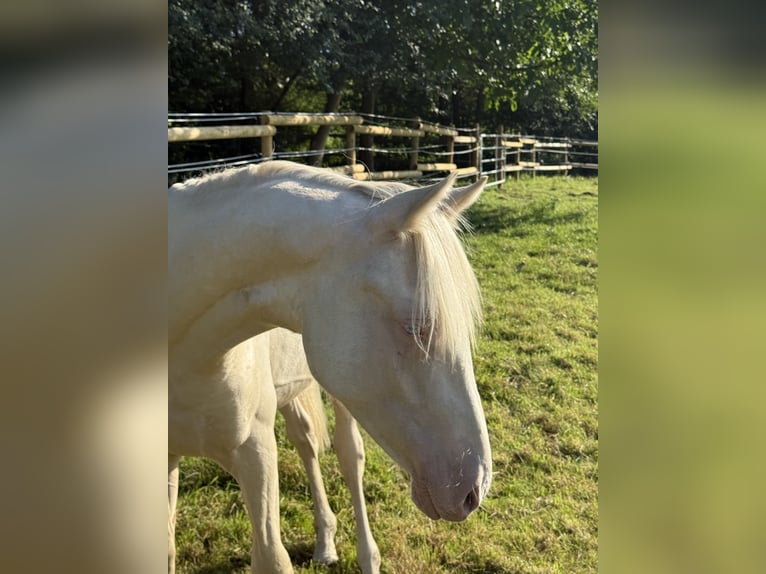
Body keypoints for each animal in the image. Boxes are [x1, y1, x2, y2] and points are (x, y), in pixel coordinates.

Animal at [169, 161, 492, 573]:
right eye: (414, 326)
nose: (474, 489)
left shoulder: (255, 452)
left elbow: (272, 556)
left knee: (350, 459)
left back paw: (365, 556)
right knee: (306, 444)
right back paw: (325, 542)